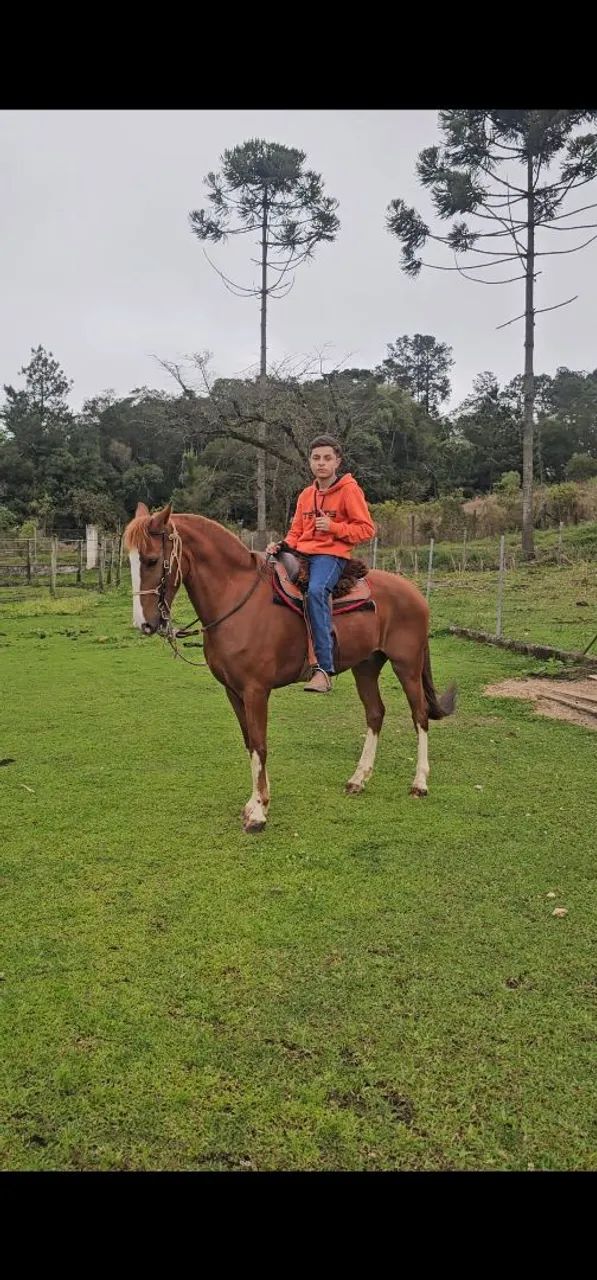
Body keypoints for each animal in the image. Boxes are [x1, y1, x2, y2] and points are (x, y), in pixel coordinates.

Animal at [125, 501, 455, 833]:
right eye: (130, 561)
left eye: (152, 560)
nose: (144, 624)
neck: (236, 600)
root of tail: (414, 592)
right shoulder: (233, 691)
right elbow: (250, 742)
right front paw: (256, 803)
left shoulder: (256, 691)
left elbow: (260, 744)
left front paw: (258, 813)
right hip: (366, 666)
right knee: (375, 713)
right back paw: (358, 780)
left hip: (407, 666)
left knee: (419, 715)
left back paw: (419, 784)